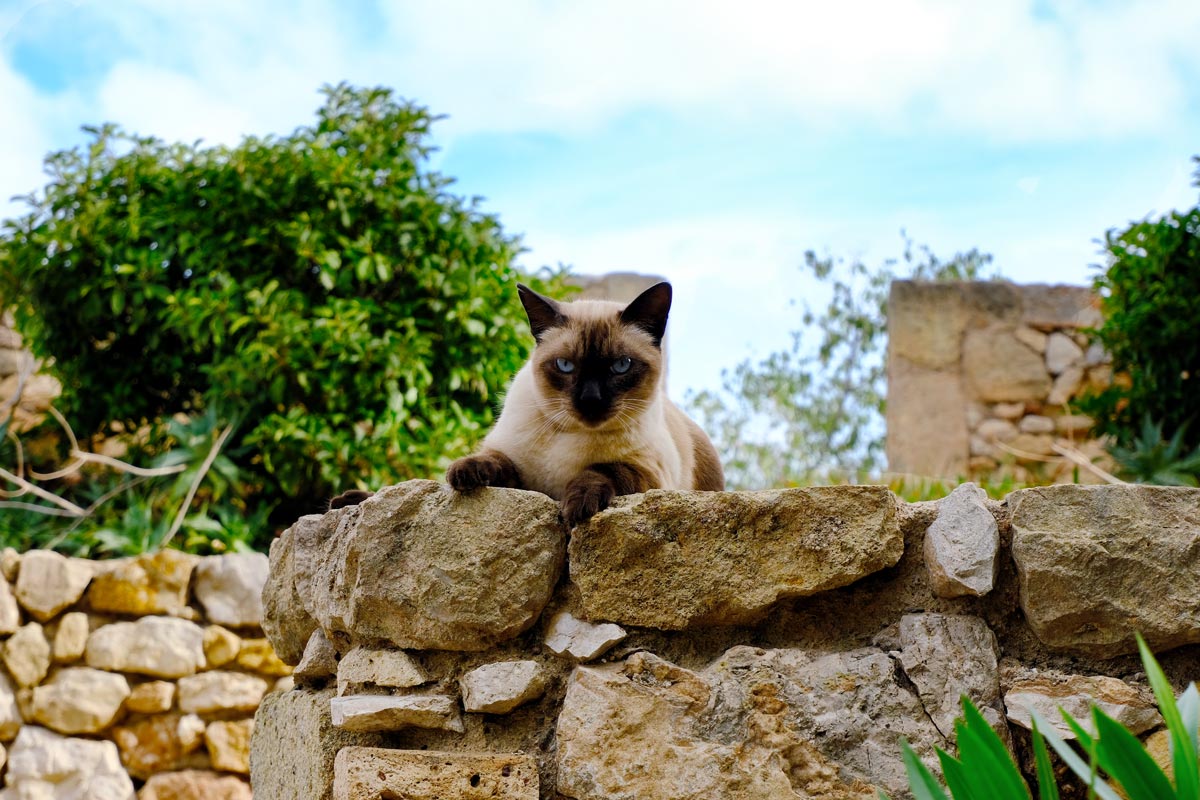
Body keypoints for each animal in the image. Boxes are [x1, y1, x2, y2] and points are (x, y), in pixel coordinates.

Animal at [444, 281, 715, 525]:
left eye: (621, 365)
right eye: (565, 365)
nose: (590, 399)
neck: (572, 434)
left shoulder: (649, 474)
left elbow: (602, 469)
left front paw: (579, 505)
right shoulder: (521, 473)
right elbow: (497, 461)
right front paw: (466, 472)